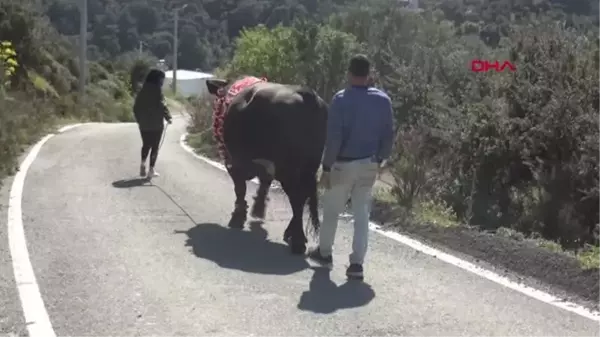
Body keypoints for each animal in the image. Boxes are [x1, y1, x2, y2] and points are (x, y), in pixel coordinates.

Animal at [206, 78, 328, 252]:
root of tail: (306, 93)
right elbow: (263, 184)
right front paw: (257, 208)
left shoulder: (232, 162)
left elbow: (240, 189)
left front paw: (238, 217)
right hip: (310, 166)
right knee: (302, 196)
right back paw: (293, 234)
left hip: (288, 169)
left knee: (297, 198)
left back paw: (297, 241)